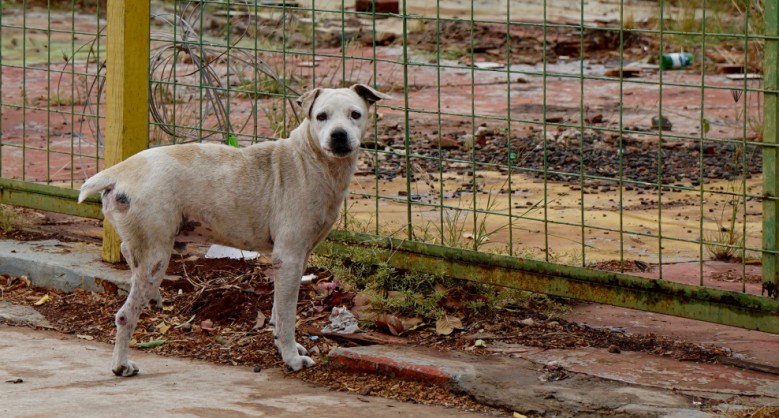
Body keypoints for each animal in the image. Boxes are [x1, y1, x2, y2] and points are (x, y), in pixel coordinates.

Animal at [80, 85, 390, 376]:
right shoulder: (288, 258)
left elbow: (278, 311)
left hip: (147, 249)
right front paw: (292, 358)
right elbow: (288, 315)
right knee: (125, 315)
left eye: (355, 114)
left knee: (128, 253)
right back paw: (121, 365)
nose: (338, 135)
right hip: (156, 256)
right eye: (321, 117)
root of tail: (120, 171)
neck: (312, 160)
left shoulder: (298, 258)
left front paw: (282, 345)